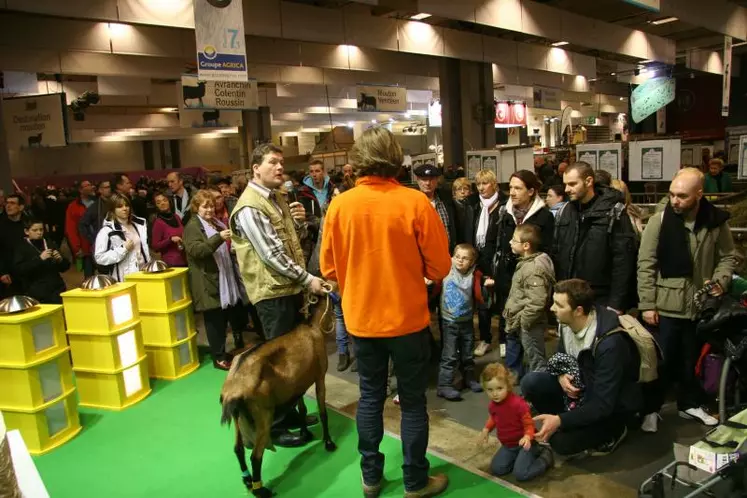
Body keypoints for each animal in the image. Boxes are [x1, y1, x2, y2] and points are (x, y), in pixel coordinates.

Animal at [219, 294, 336, 496]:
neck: (313, 326)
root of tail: (233, 388)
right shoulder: (320, 377)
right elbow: (323, 412)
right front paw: (328, 443)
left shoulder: (298, 385)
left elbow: (302, 409)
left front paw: (305, 433)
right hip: (263, 415)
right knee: (255, 456)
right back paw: (260, 490)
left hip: (238, 418)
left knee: (238, 449)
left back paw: (247, 480)